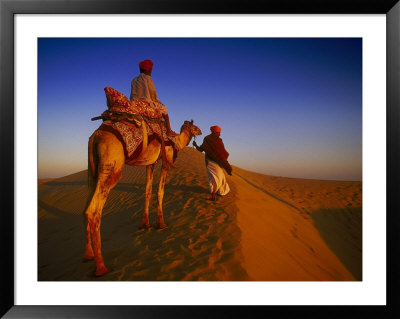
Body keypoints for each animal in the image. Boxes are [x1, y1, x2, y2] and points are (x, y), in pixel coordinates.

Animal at [82, 119, 200, 276]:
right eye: (194, 127)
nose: (200, 131)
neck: (175, 140)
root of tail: (96, 136)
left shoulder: (150, 163)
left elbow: (147, 191)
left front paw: (145, 224)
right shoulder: (166, 162)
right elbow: (160, 192)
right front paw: (161, 224)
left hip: (92, 169)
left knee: (85, 209)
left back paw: (88, 255)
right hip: (111, 166)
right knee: (94, 211)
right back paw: (101, 267)